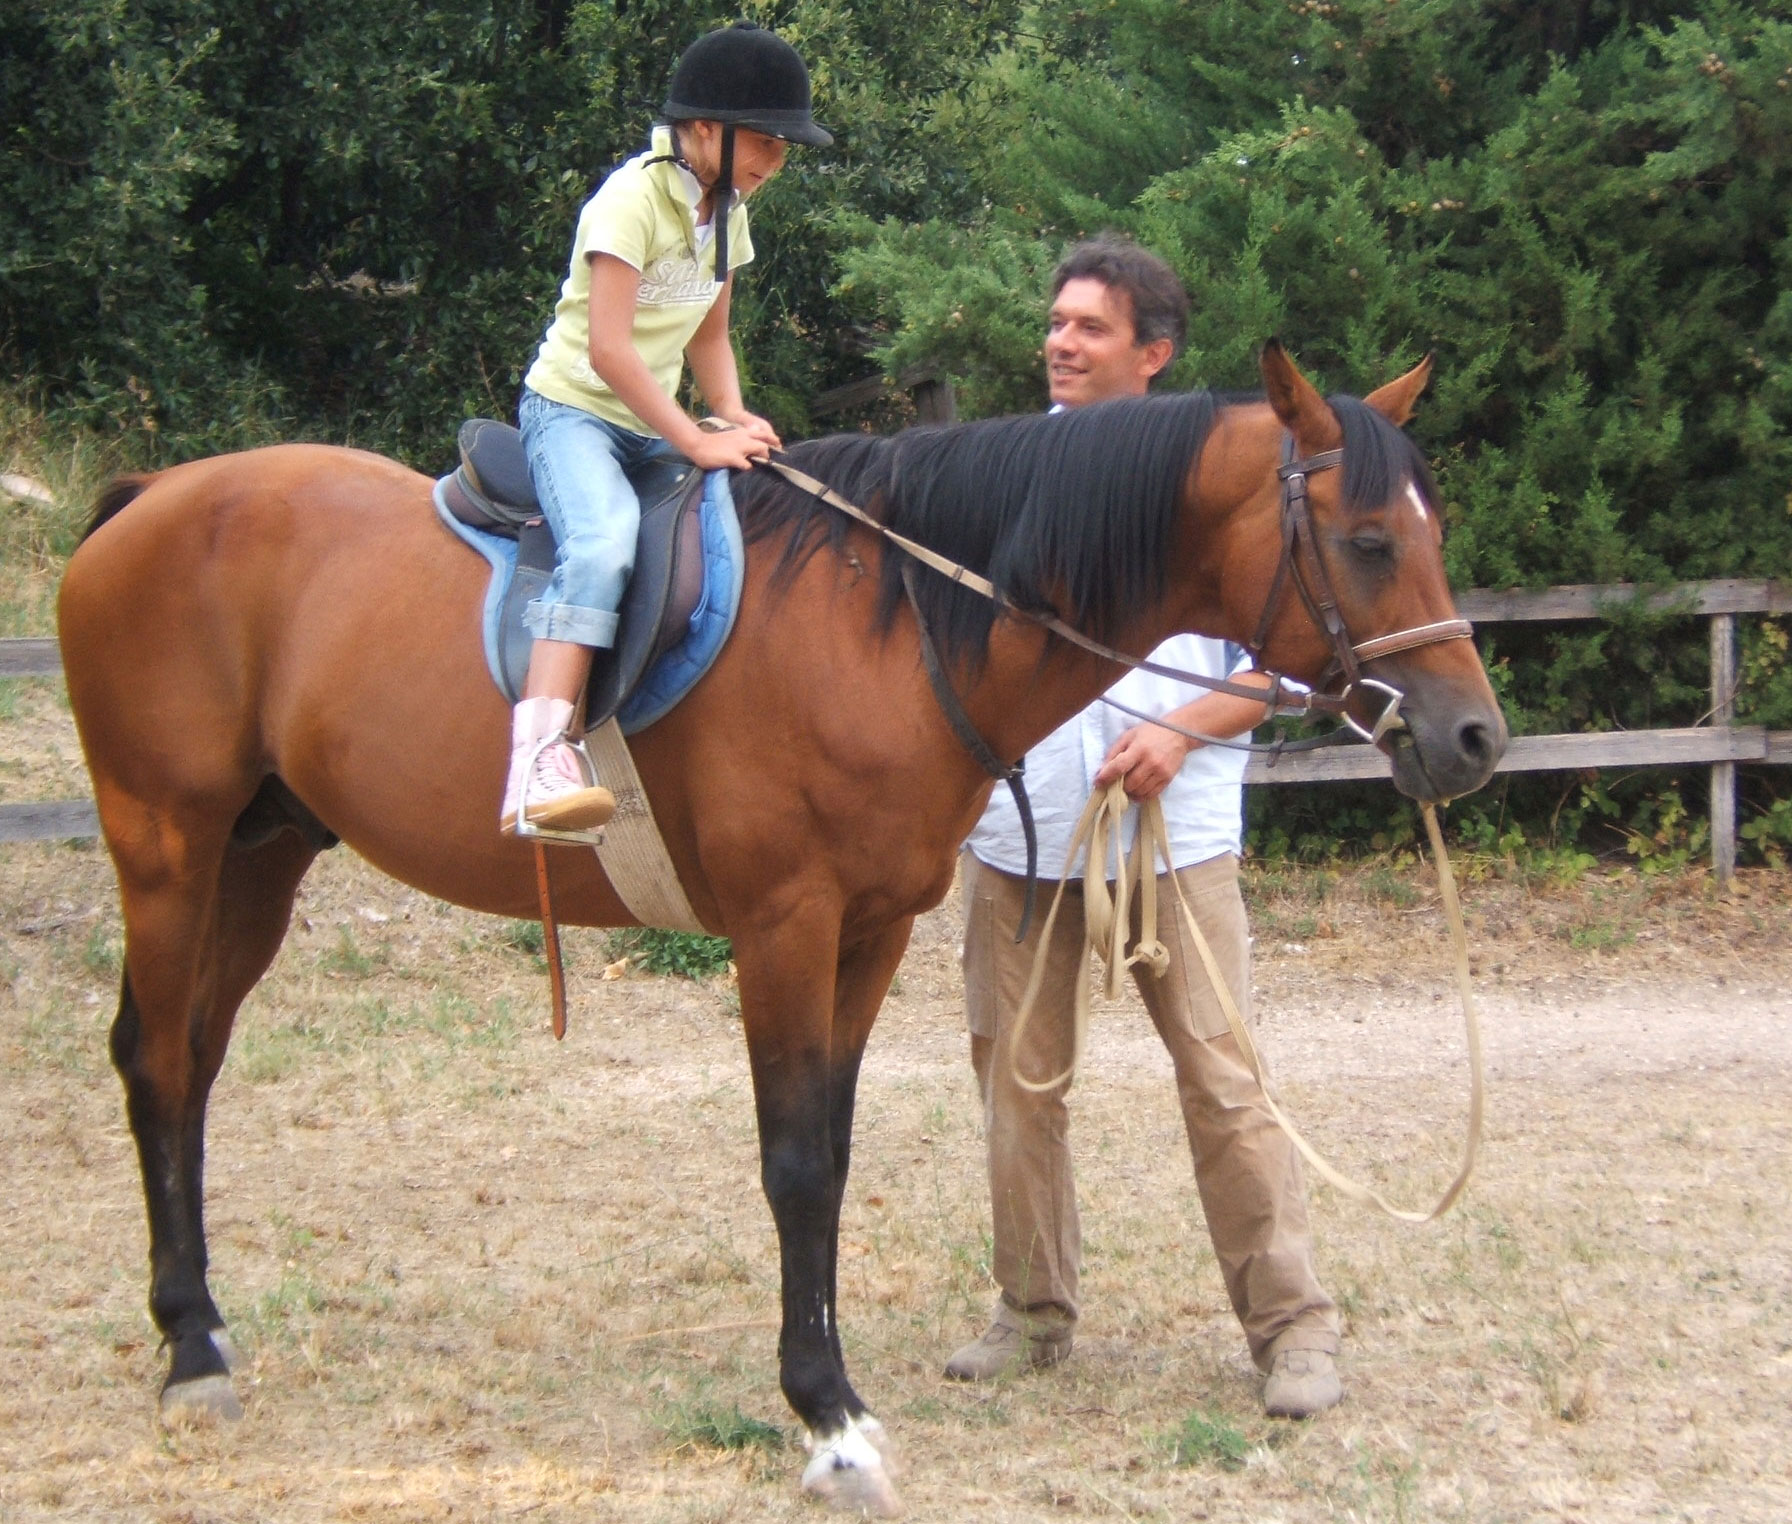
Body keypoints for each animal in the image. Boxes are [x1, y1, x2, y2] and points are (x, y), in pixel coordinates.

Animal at [56, 344, 1505, 1506]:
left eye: (1432, 530)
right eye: (1368, 539)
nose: (1471, 738)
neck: (894, 621)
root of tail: (147, 502)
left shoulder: (869, 934)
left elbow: (836, 1152)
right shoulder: (783, 929)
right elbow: (795, 1162)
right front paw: (828, 1415)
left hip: (259, 860)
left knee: (191, 1065)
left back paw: (203, 1325)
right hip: (170, 849)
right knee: (157, 1065)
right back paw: (188, 1349)